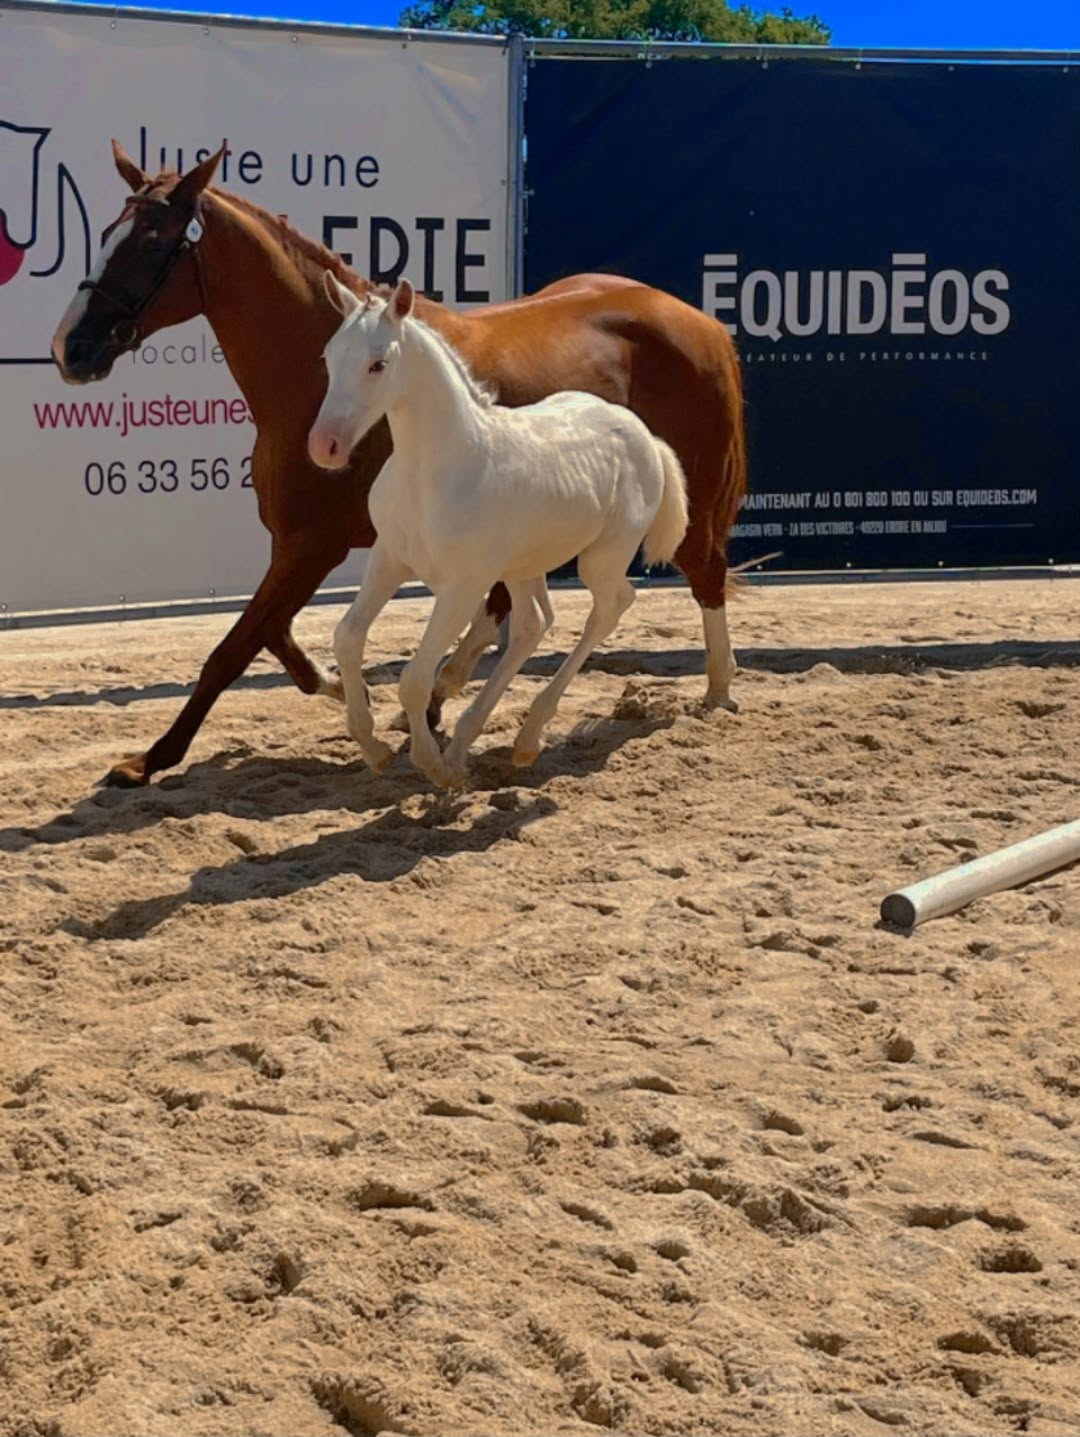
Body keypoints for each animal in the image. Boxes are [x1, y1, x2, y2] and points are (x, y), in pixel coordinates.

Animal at [308, 273, 689, 789]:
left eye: (378, 363)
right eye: (329, 357)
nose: (324, 446)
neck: (435, 471)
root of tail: (646, 436)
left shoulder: (463, 587)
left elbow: (414, 678)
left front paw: (431, 765)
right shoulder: (391, 558)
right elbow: (347, 638)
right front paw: (376, 749)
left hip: (601, 558)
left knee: (610, 607)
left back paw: (523, 737)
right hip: (524, 566)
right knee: (533, 625)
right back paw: (472, 744)